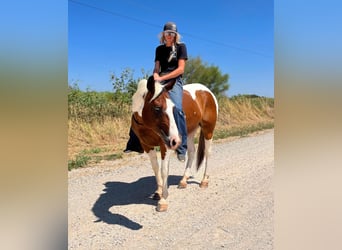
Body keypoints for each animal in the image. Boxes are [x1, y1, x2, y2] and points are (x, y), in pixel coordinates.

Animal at [130, 75, 218, 211]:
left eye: (173, 108)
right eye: (157, 107)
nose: (175, 140)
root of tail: (207, 91)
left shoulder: (165, 145)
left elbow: (164, 170)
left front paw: (163, 200)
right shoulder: (147, 146)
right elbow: (155, 168)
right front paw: (158, 192)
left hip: (208, 129)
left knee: (208, 153)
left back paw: (204, 181)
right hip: (190, 132)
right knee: (191, 152)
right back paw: (183, 180)